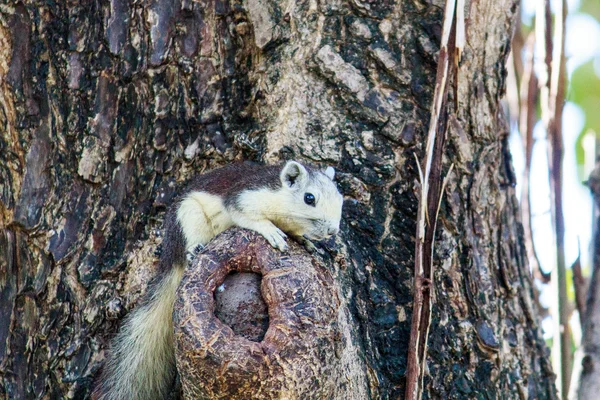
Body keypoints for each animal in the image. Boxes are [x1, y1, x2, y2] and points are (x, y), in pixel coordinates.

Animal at [91, 160, 340, 400]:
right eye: (309, 198)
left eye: (339, 196)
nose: (332, 231)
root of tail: (170, 256)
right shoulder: (246, 195)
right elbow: (246, 215)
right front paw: (271, 230)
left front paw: (307, 242)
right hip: (187, 216)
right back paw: (194, 250)